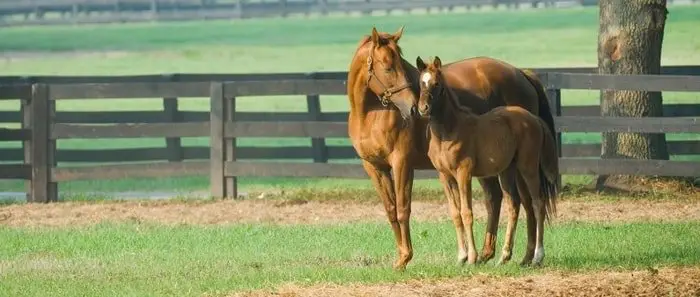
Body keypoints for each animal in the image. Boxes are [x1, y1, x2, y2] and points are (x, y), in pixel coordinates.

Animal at [346, 26, 556, 270]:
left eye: (401, 62)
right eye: (388, 66)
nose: (413, 107)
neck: (370, 114)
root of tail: (521, 74)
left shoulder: (402, 163)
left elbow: (403, 208)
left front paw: (406, 256)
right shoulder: (374, 167)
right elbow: (391, 210)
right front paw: (400, 257)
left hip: (521, 166)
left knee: (528, 202)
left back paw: (527, 255)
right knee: (501, 200)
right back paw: (505, 255)